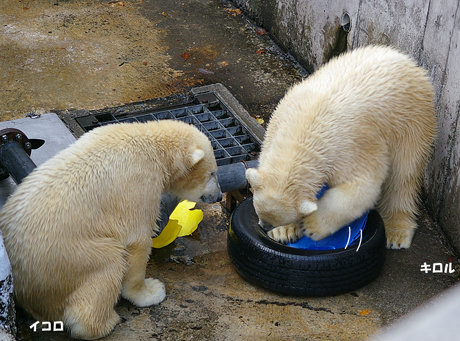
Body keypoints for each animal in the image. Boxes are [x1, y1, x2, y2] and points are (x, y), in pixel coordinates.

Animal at [0, 119, 223, 338]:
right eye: (212, 173)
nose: (219, 196)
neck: (151, 145)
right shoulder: (139, 185)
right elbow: (138, 240)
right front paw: (150, 291)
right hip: (67, 257)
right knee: (109, 262)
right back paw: (107, 322)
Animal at [246, 44, 436, 250]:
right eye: (260, 212)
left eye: (272, 220)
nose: (264, 226)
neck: (303, 132)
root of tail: (408, 61)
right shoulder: (278, 123)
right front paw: (284, 233)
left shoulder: (348, 148)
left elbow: (363, 186)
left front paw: (311, 225)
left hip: (410, 120)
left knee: (403, 175)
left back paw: (397, 233)